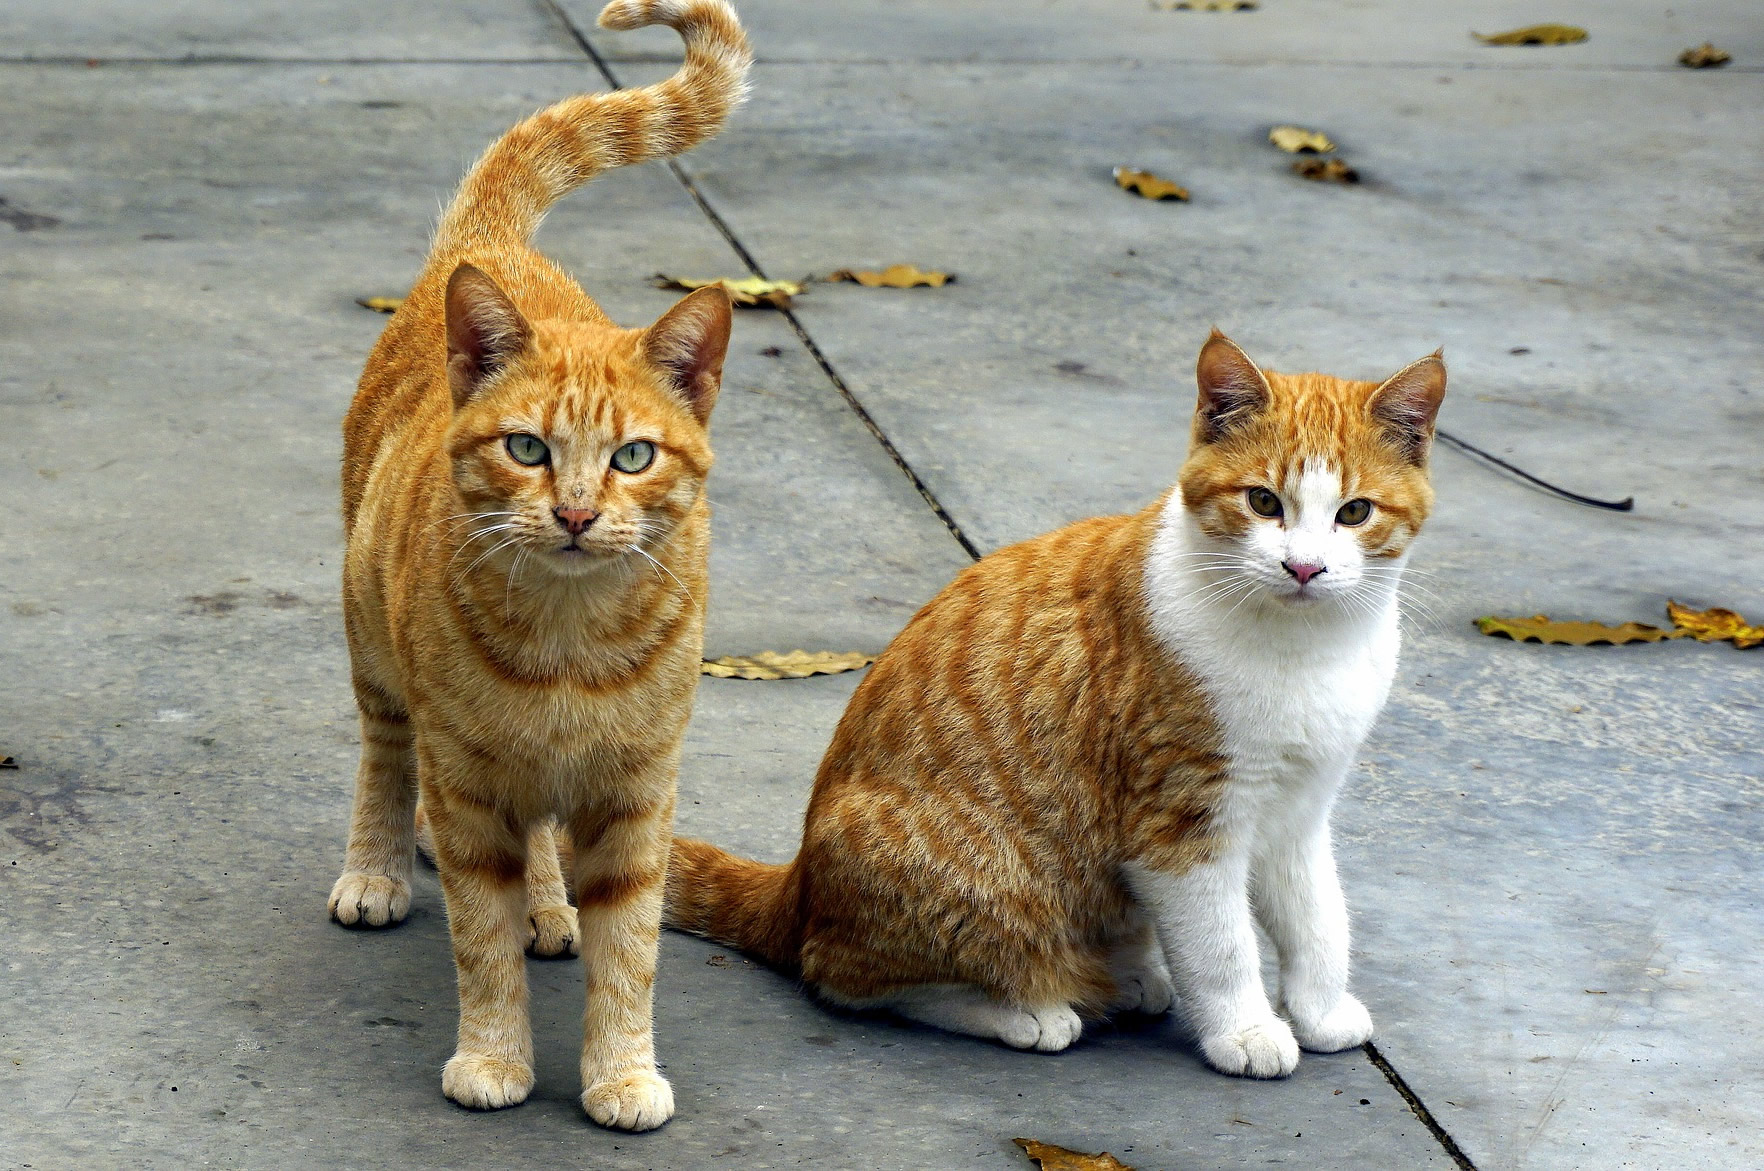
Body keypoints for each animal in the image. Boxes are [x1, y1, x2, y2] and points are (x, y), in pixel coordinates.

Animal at [324, 0, 751, 1135]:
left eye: (633, 456)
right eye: (527, 448)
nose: (574, 512)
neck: (568, 635)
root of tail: (490, 247)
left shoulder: (639, 795)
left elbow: (629, 954)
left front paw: (620, 1070)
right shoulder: (469, 788)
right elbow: (479, 944)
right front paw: (493, 1055)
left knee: (549, 850)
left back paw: (551, 904)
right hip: (373, 648)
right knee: (385, 760)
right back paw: (378, 867)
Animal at [663, 329, 1446, 1079]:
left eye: (1353, 512)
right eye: (1263, 502)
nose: (1304, 567)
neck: (1304, 648)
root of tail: (795, 886)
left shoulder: (1298, 812)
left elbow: (1319, 921)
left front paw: (1319, 1011)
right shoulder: (1182, 825)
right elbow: (1222, 947)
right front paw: (1246, 1029)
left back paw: (1126, 976)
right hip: (979, 885)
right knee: (845, 976)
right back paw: (1026, 1011)